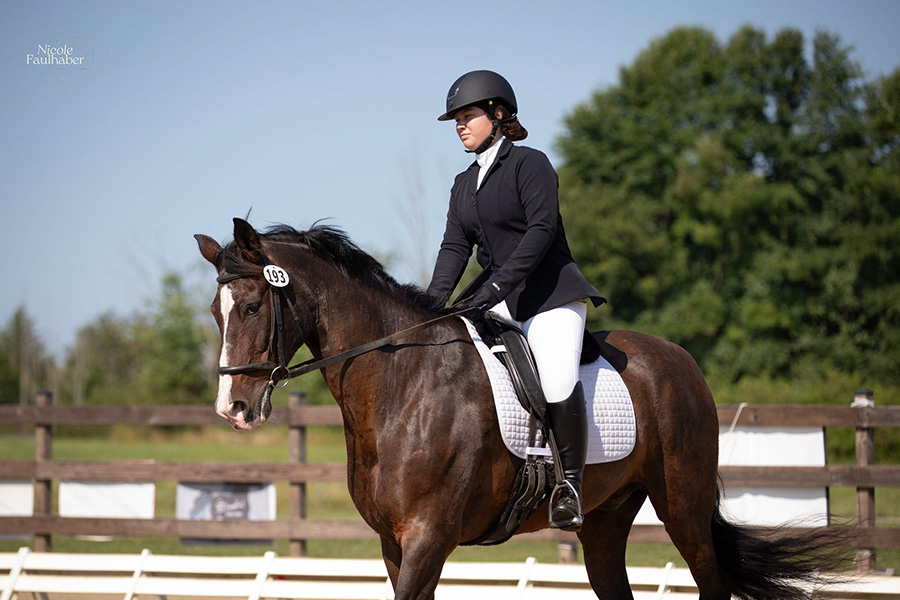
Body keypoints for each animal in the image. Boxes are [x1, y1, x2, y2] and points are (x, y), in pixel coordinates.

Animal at [197, 218, 852, 596]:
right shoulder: (393, 544)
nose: (233, 408)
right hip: (607, 521)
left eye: (252, 307)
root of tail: (680, 359)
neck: (400, 384)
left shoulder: (429, 537)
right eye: (215, 312)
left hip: (683, 509)